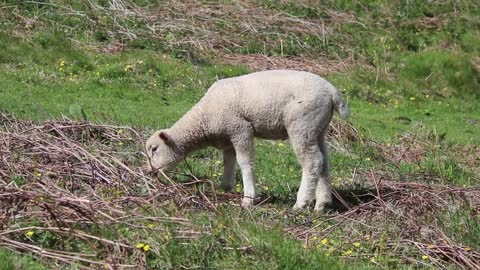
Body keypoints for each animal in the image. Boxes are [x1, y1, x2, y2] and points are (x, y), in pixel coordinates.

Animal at [144, 69, 350, 211]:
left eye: (154, 149)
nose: (149, 172)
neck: (204, 118)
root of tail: (332, 92)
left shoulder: (240, 129)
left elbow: (244, 162)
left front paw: (248, 198)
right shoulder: (227, 136)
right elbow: (228, 162)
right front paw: (225, 188)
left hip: (302, 125)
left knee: (312, 162)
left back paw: (301, 203)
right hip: (318, 129)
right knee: (323, 162)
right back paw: (322, 203)